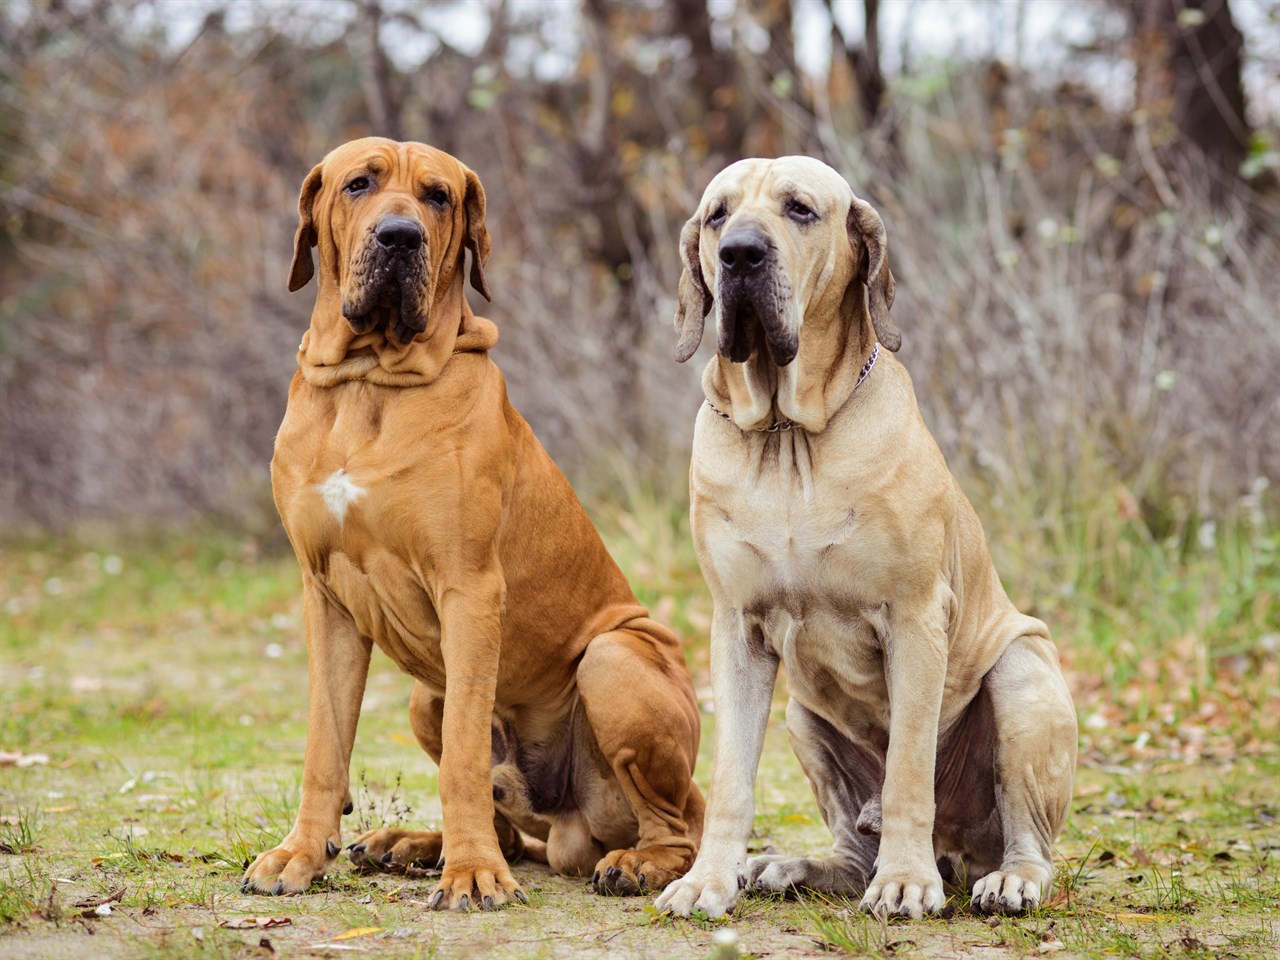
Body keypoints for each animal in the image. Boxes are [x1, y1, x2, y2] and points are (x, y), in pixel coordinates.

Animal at [244, 138, 706, 911]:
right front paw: (301, 854)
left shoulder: (469, 589)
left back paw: (635, 863)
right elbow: (324, 744)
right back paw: (413, 845)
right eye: (358, 184)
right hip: (421, 696)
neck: (369, 383)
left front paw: (471, 873)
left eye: (438, 197)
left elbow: (462, 756)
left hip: (614, 658)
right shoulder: (326, 598)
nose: (399, 237)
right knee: (514, 830)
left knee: (683, 824)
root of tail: (570, 830)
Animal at [655, 160, 1075, 926]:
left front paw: (905, 882)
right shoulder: (736, 630)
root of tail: (960, 853)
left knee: (1024, 835)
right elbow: (730, 779)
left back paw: (1007, 880)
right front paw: (707, 881)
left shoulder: (914, 621)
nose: (739, 254)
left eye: (799, 209)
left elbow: (909, 767)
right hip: (803, 717)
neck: (787, 437)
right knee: (853, 847)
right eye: (716, 215)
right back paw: (793, 867)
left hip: (1023, 673)